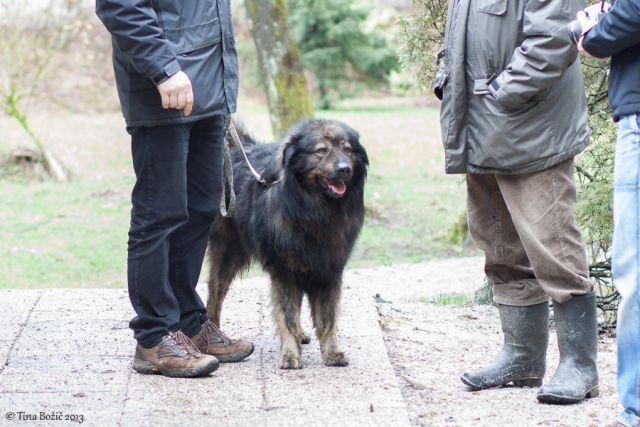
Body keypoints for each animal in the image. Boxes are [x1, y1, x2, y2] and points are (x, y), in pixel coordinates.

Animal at [208, 118, 368, 370]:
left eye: (348, 150)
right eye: (321, 151)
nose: (345, 169)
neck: (312, 210)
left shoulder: (328, 271)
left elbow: (327, 318)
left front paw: (332, 353)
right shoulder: (284, 272)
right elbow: (287, 316)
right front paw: (290, 355)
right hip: (227, 254)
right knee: (214, 295)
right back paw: (215, 335)